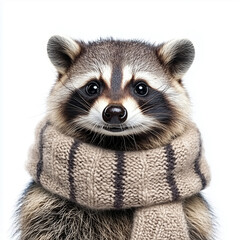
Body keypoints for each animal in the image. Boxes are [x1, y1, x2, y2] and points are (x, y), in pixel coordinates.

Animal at [15, 36, 214, 240]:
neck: (118, 143)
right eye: (92, 87)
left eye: (141, 88)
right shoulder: (47, 207)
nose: (115, 112)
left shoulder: (193, 212)